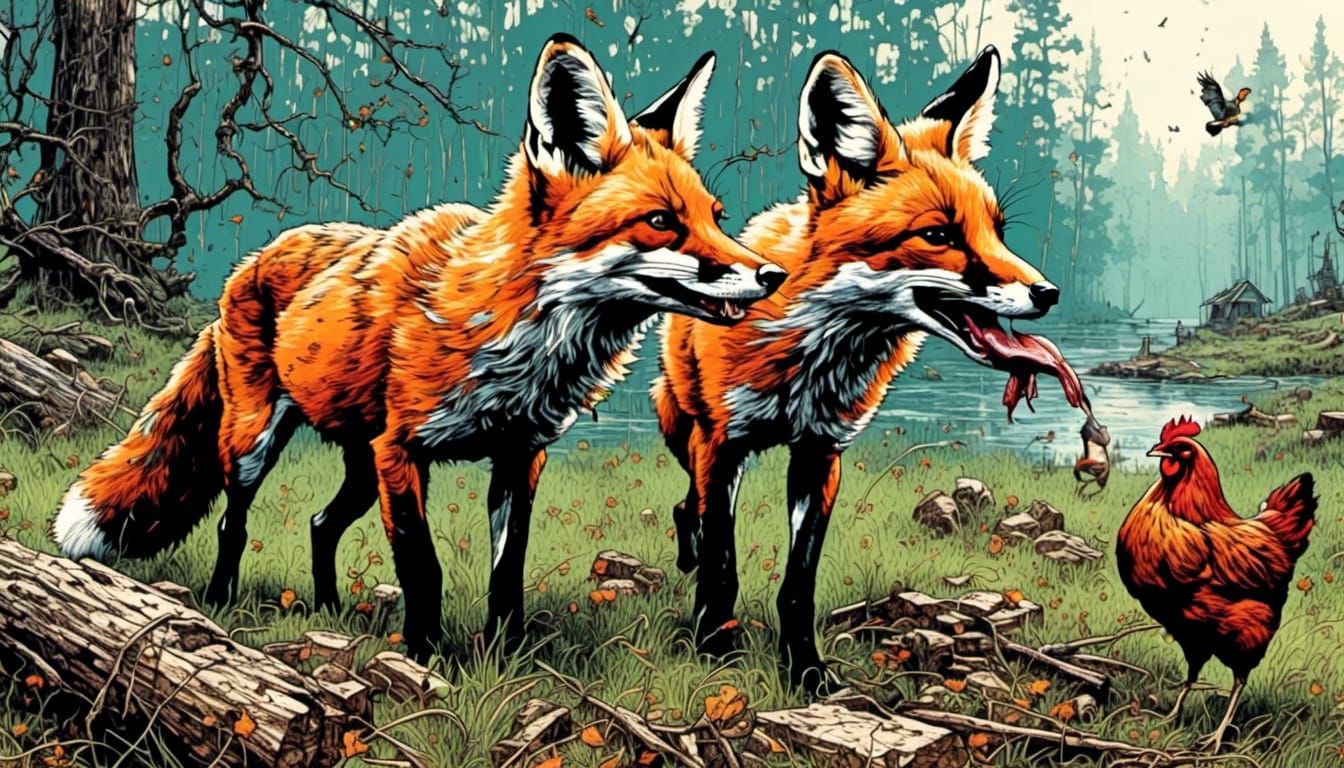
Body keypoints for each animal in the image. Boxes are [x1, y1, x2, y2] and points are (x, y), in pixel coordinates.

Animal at [52, 34, 785, 658]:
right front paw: (426, 657)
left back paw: (327, 608)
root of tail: (253, 259)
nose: (770, 275)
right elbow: (422, 567)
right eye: (661, 222)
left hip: (357, 464)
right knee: (234, 524)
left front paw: (504, 659)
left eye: (716, 218)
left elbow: (507, 572)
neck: (511, 339)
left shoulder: (518, 456)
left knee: (320, 522)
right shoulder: (402, 453)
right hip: (256, 441)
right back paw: (222, 598)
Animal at [652, 46, 1066, 690]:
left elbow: (798, 584)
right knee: (689, 508)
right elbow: (722, 564)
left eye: (997, 232)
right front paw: (715, 649)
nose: (1047, 293)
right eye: (938, 234)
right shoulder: (722, 444)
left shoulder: (821, 453)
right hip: (685, 430)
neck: (808, 364)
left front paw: (804, 670)